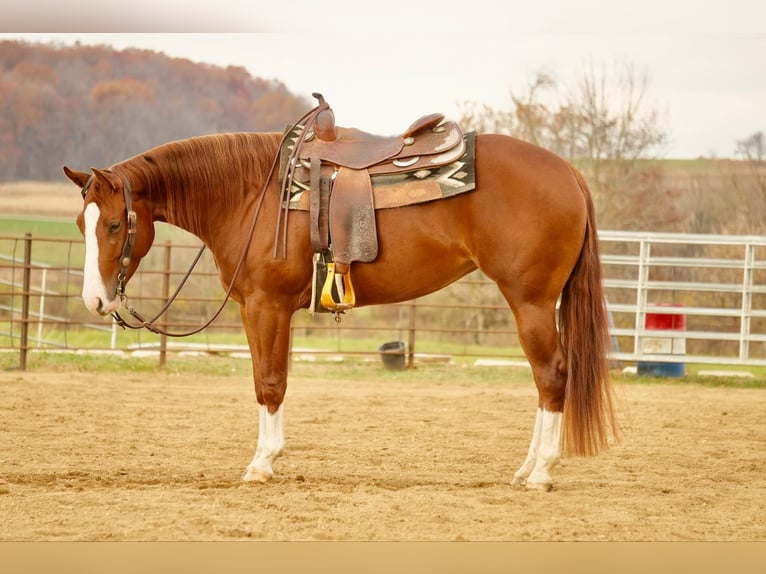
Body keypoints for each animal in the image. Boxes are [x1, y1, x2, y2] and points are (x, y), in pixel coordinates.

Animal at [64, 106, 616, 492]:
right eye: (81, 225)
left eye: (113, 225)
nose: (95, 301)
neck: (250, 193)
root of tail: (569, 172)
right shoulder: (260, 308)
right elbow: (269, 381)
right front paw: (268, 458)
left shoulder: (266, 305)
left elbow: (269, 383)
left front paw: (261, 464)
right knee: (544, 380)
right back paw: (526, 468)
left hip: (532, 302)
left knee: (551, 375)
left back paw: (541, 472)